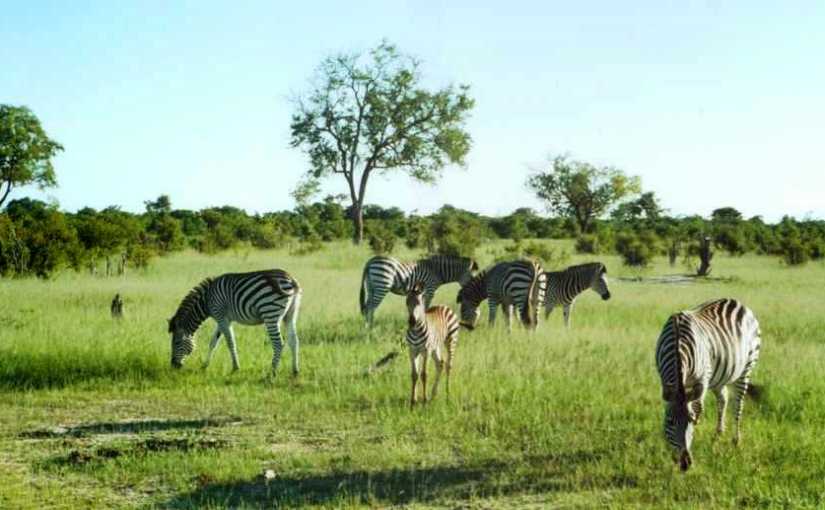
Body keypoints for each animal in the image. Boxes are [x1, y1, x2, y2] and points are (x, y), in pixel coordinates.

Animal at [168, 269, 302, 377]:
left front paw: (235, 368)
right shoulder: (222, 318)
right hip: (291, 314)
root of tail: (291, 279)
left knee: (279, 343)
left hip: (270, 313)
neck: (206, 300)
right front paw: (204, 366)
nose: (173, 365)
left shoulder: (221, 316)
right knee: (294, 340)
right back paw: (295, 371)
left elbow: (230, 342)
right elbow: (213, 342)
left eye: (176, 342)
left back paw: (272, 372)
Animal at [655, 298, 762, 471]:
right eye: (670, 422)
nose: (685, 464)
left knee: (738, 406)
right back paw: (718, 435)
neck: (678, 341)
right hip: (720, 376)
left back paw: (736, 441)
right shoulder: (664, 378)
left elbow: (698, 408)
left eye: (692, 422)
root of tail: (737, 302)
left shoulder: (703, 378)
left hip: (746, 368)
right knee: (723, 399)